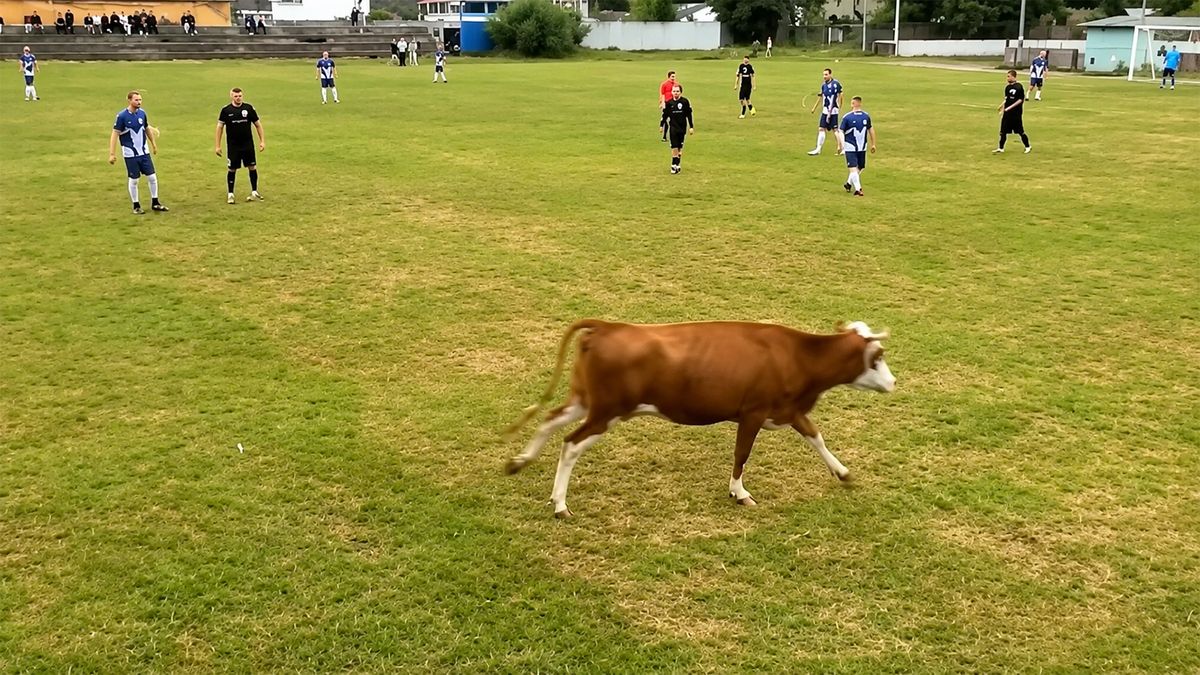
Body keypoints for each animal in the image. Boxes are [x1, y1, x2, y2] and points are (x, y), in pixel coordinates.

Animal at [504, 319, 896, 518]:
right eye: (877, 357)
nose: (893, 382)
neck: (795, 355)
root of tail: (607, 327)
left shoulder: (788, 410)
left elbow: (816, 437)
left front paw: (843, 473)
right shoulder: (752, 413)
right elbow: (742, 455)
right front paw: (739, 492)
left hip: (586, 400)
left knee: (550, 419)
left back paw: (519, 461)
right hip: (608, 411)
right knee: (571, 444)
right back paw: (560, 505)